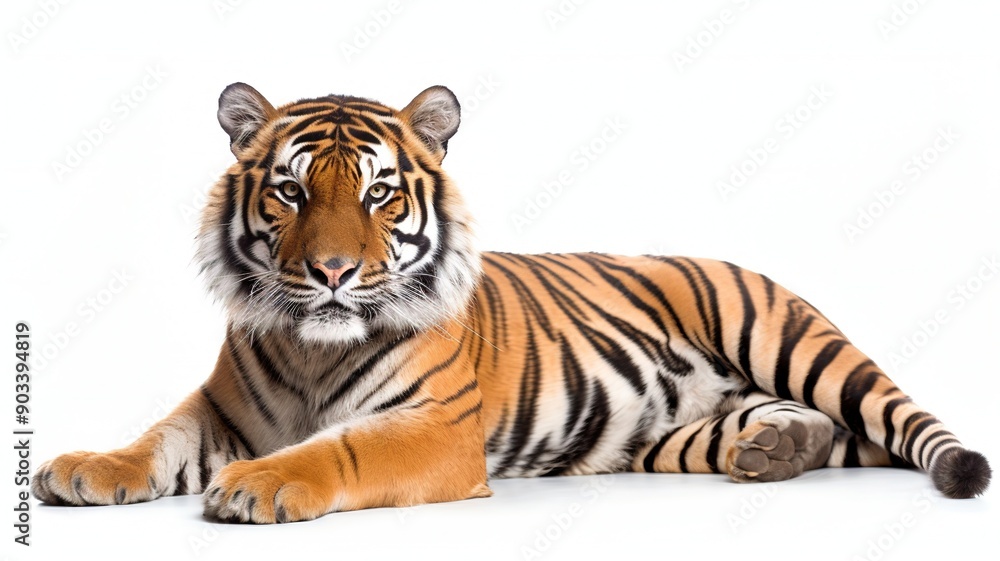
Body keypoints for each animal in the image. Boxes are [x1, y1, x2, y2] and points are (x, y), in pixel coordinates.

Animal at [32, 83, 991, 523]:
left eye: (379, 194)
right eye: (292, 192)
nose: (334, 272)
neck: (313, 343)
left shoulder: (434, 426)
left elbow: (340, 449)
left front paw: (258, 485)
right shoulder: (221, 406)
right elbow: (155, 439)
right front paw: (84, 467)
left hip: (786, 333)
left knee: (898, 416)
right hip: (663, 436)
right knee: (816, 430)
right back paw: (776, 450)